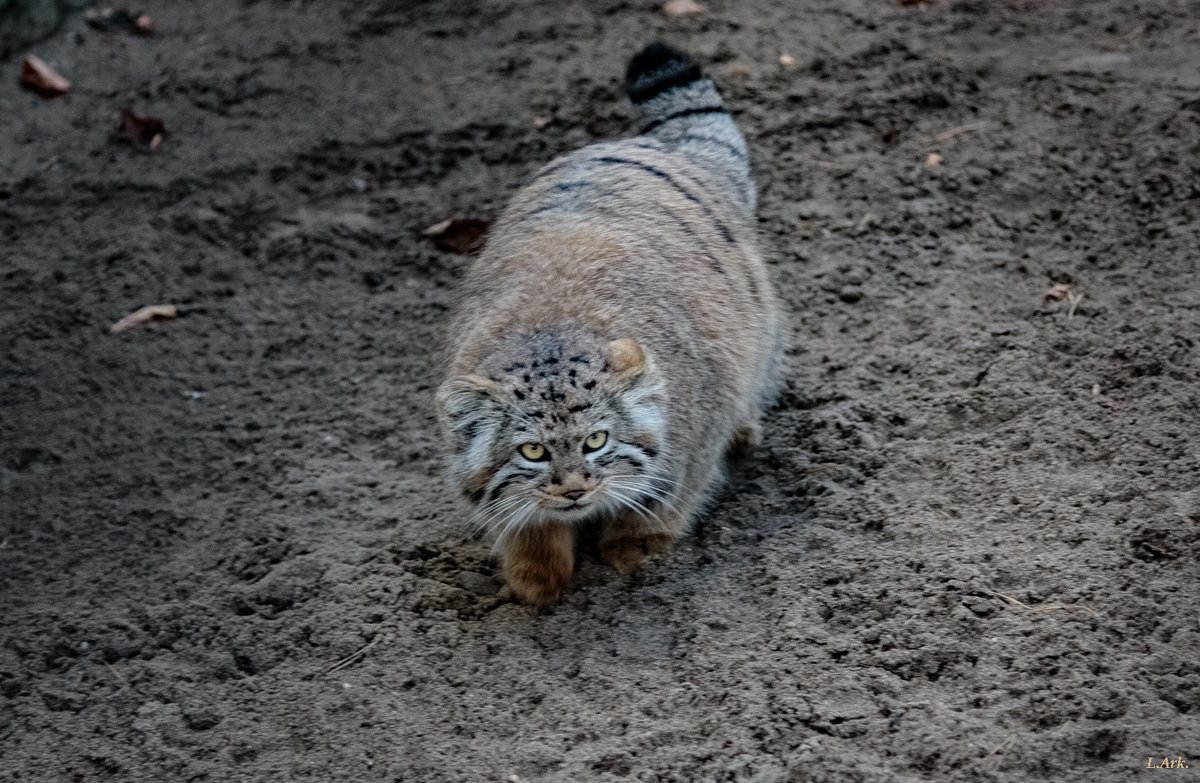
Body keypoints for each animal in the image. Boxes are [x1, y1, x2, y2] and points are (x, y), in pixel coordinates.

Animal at [436, 42, 782, 605]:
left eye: (597, 441)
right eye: (532, 451)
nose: (575, 490)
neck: (549, 329)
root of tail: (652, 145)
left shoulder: (694, 435)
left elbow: (668, 493)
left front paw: (635, 545)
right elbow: (522, 518)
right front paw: (536, 573)